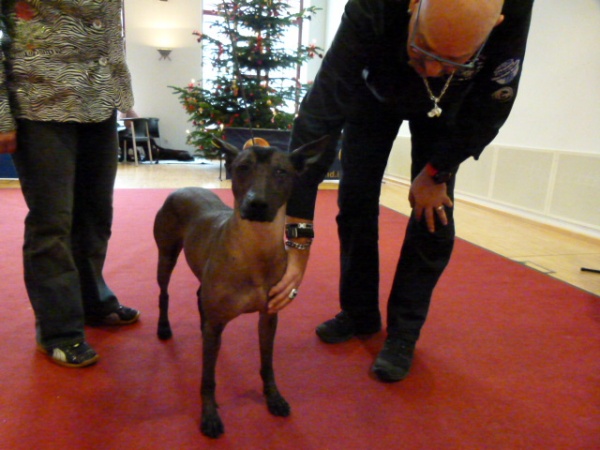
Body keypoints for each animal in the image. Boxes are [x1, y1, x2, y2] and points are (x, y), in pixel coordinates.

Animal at [153, 136, 329, 438]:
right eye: (242, 167)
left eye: (281, 172)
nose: (256, 203)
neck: (255, 249)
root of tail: (183, 188)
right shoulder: (216, 326)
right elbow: (208, 377)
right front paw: (209, 414)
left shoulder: (269, 317)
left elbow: (267, 364)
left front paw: (273, 397)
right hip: (166, 256)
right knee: (164, 293)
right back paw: (164, 327)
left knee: (200, 300)